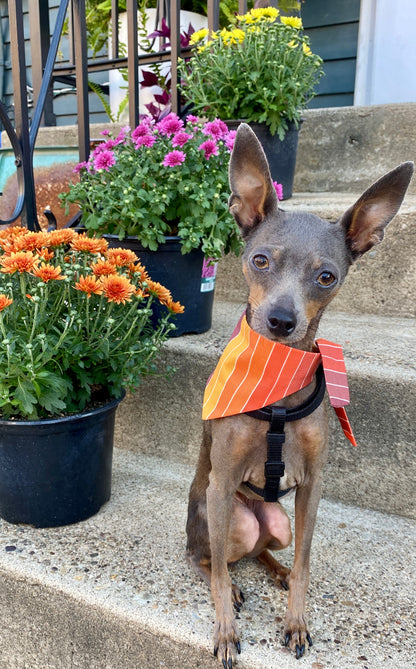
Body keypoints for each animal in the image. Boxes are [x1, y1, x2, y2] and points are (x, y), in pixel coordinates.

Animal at [185, 124, 412, 664]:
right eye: (259, 260)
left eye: (326, 276)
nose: (281, 321)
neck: (278, 382)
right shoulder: (222, 485)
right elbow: (220, 573)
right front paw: (225, 631)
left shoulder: (311, 486)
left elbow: (307, 563)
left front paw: (296, 620)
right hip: (229, 518)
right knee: (209, 558)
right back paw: (228, 585)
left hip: (279, 523)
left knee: (266, 549)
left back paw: (278, 574)